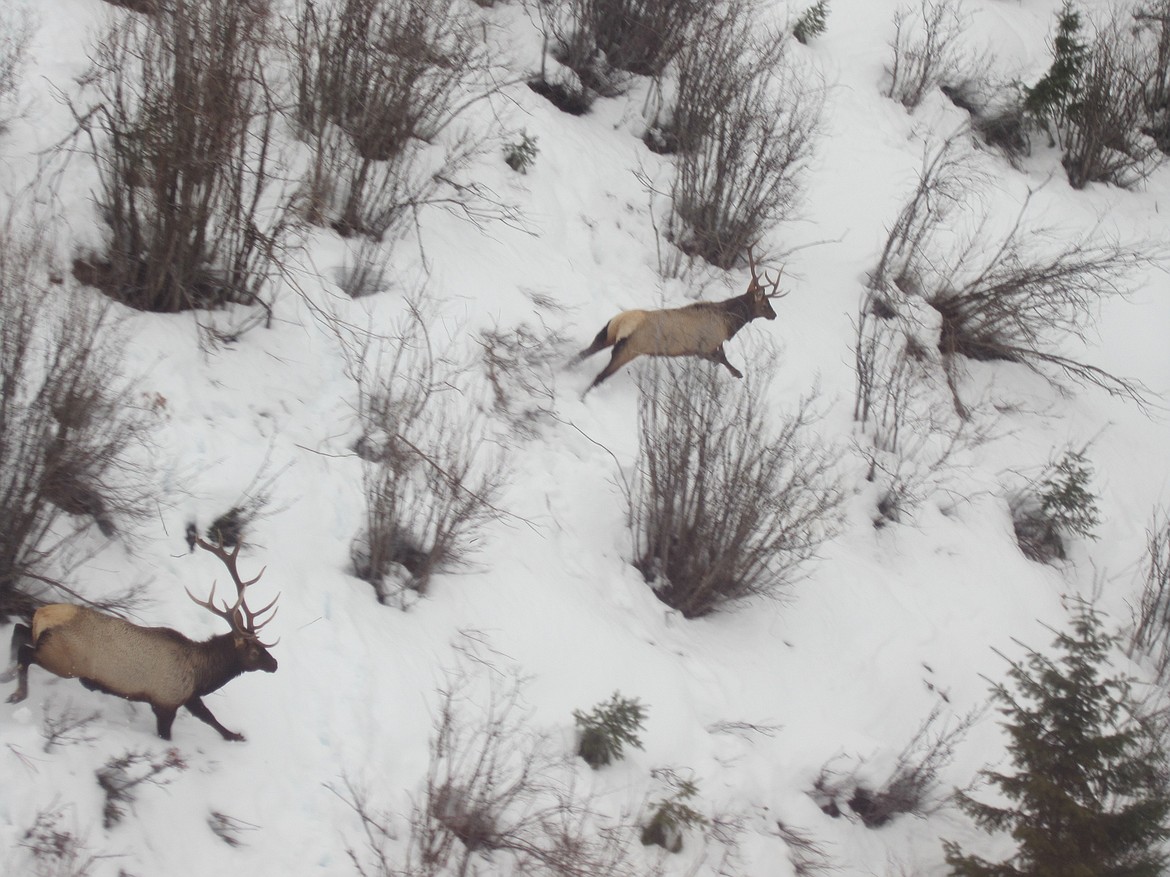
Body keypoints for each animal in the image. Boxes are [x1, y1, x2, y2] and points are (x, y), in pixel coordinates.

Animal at [2, 540, 278, 743]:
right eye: (255, 650)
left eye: (262, 644)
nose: (274, 664)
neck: (202, 676)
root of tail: (44, 613)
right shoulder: (167, 702)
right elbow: (186, 726)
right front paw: (236, 735)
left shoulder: (185, 697)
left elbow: (208, 717)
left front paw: (235, 735)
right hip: (64, 661)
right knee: (26, 652)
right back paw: (17, 693)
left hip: (44, 640)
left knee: (19, 630)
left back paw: (6, 674)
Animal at [575, 249, 786, 397]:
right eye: (766, 304)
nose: (775, 315)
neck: (728, 324)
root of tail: (622, 323)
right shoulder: (704, 347)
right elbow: (723, 359)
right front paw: (738, 373)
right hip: (629, 349)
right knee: (599, 376)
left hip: (606, 335)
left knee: (580, 355)